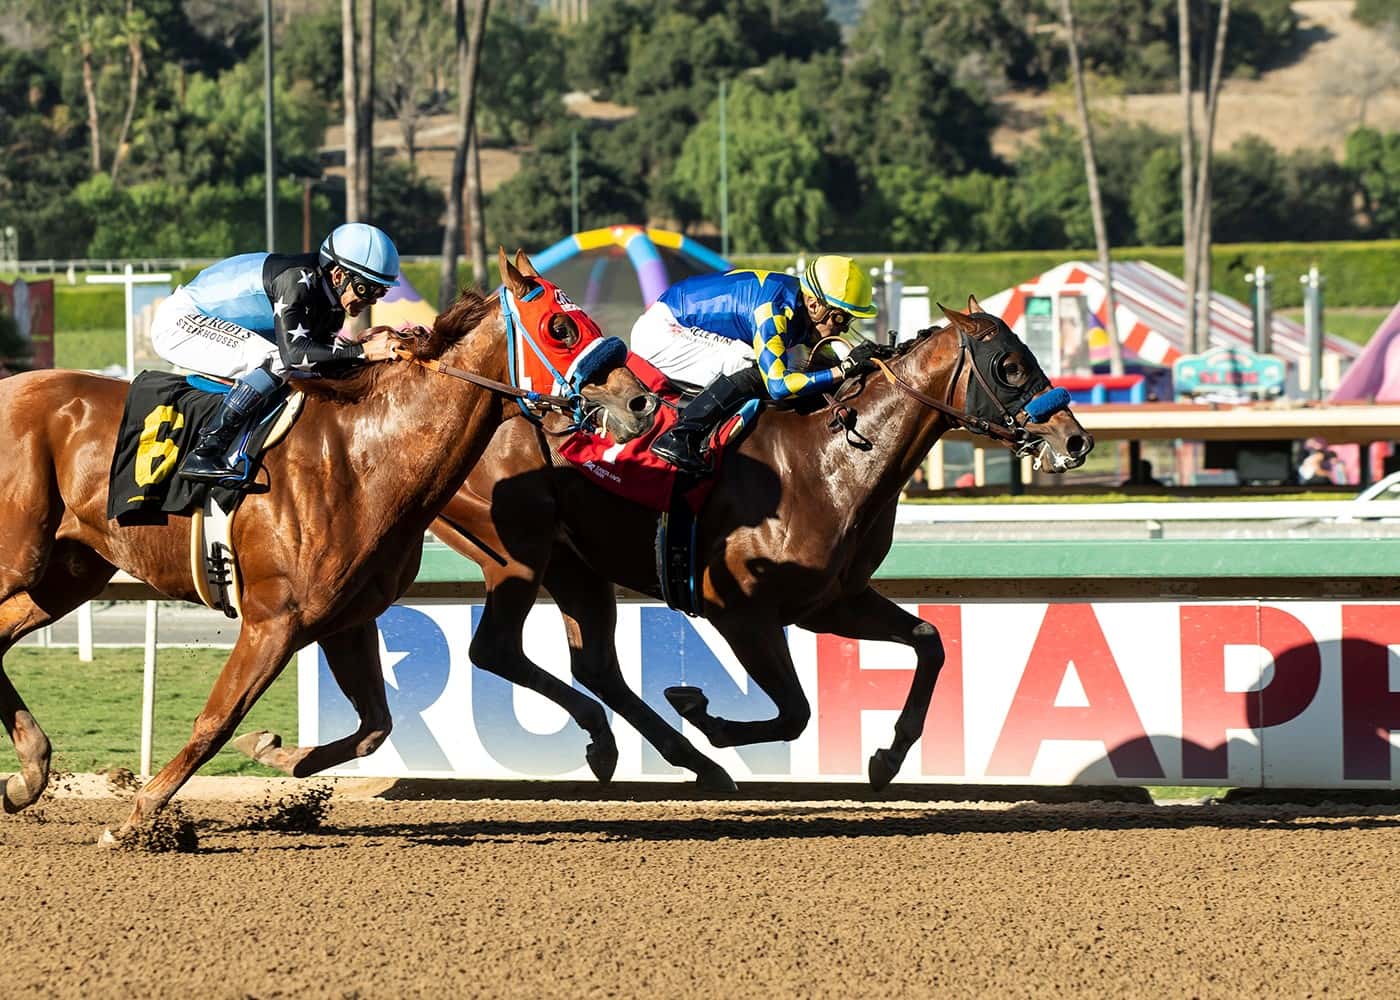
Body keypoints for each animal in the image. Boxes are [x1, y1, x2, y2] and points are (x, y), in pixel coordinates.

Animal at [0, 249, 644, 834]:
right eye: (560, 328)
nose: (639, 402)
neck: (363, 456)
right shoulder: (273, 620)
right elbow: (217, 720)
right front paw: (140, 814)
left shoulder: (344, 619)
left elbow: (373, 729)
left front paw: (273, 753)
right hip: (23, 559)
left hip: (65, 573)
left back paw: (28, 774)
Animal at [428, 299, 1092, 789]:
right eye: (1009, 365)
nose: (1077, 440)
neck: (831, 459)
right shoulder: (741, 613)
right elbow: (796, 712)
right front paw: (705, 714)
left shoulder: (830, 603)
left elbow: (930, 642)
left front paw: (887, 758)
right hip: (518, 548)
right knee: (496, 649)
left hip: (575, 565)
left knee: (594, 665)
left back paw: (672, 759)